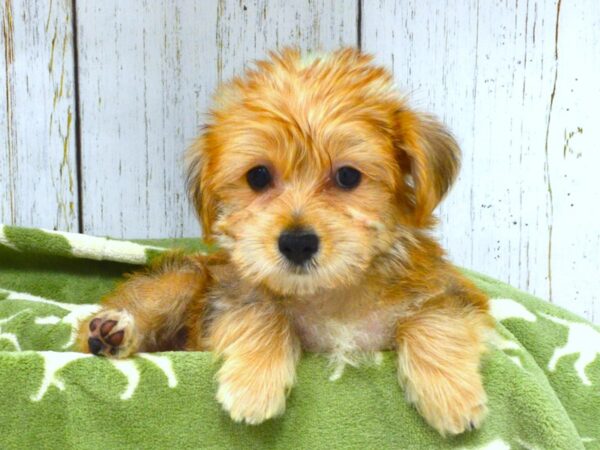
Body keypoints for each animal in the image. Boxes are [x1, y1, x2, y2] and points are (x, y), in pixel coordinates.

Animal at [78, 49, 492, 436]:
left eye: (347, 176)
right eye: (258, 176)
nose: (297, 243)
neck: (330, 293)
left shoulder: (453, 292)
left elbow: (434, 316)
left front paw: (450, 395)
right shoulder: (228, 297)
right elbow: (260, 313)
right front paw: (254, 384)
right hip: (182, 278)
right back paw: (112, 331)